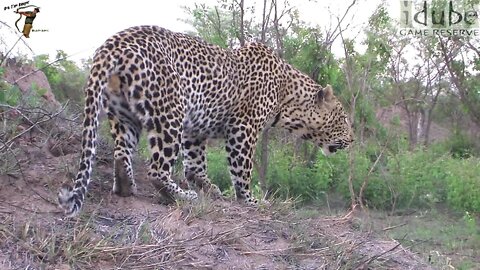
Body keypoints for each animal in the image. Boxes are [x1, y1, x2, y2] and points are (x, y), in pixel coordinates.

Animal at [58, 25, 354, 217]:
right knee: (157, 169)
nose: (352, 140)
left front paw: (210, 189)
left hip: (124, 115)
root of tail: (113, 43)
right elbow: (242, 170)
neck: (287, 95)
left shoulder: (195, 130)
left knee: (121, 154)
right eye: (343, 118)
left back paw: (125, 186)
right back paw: (180, 196)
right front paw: (249, 201)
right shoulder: (244, 128)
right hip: (170, 113)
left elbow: (195, 165)